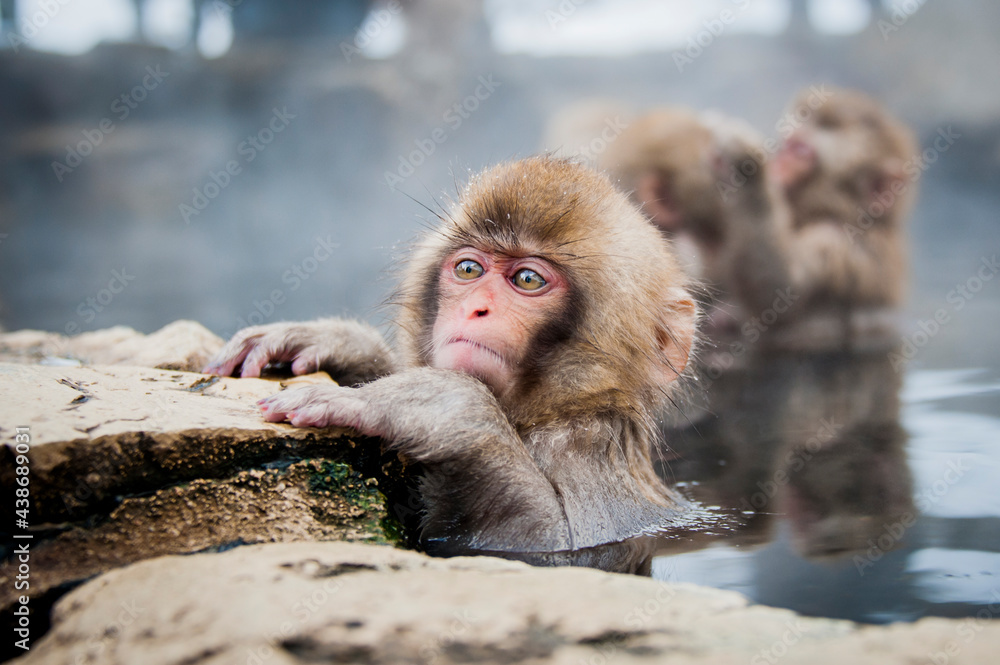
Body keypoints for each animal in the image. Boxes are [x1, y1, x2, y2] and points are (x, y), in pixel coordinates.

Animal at [205, 156, 699, 560]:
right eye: (468, 269)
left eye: (527, 279)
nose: (476, 308)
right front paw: (334, 342)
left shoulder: (584, 451)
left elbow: (552, 540)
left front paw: (433, 405)